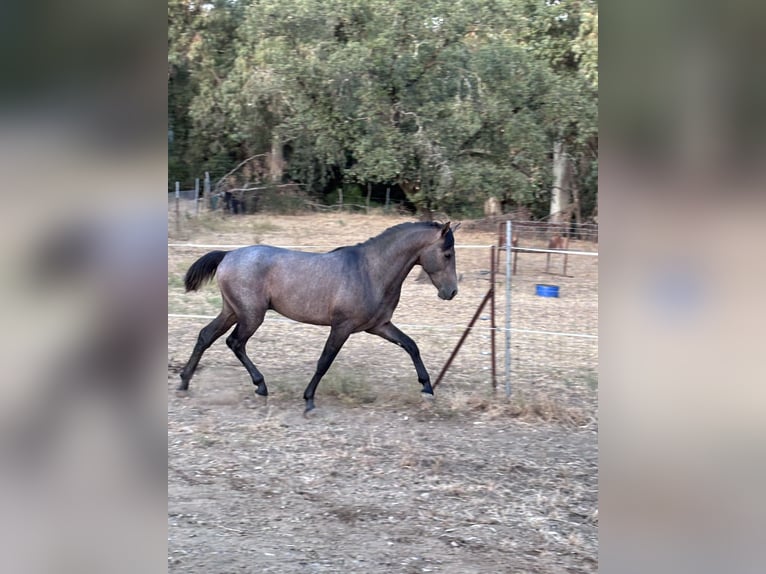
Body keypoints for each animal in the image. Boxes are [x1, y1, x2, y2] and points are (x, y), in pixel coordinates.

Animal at [177, 221, 460, 413]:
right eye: (447, 254)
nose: (451, 292)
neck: (370, 271)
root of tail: (228, 254)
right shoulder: (342, 327)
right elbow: (324, 361)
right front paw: (309, 400)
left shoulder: (380, 325)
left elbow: (411, 345)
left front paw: (427, 389)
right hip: (251, 315)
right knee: (235, 343)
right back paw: (260, 386)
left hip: (232, 311)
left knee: (206, 336)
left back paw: (184, 382)